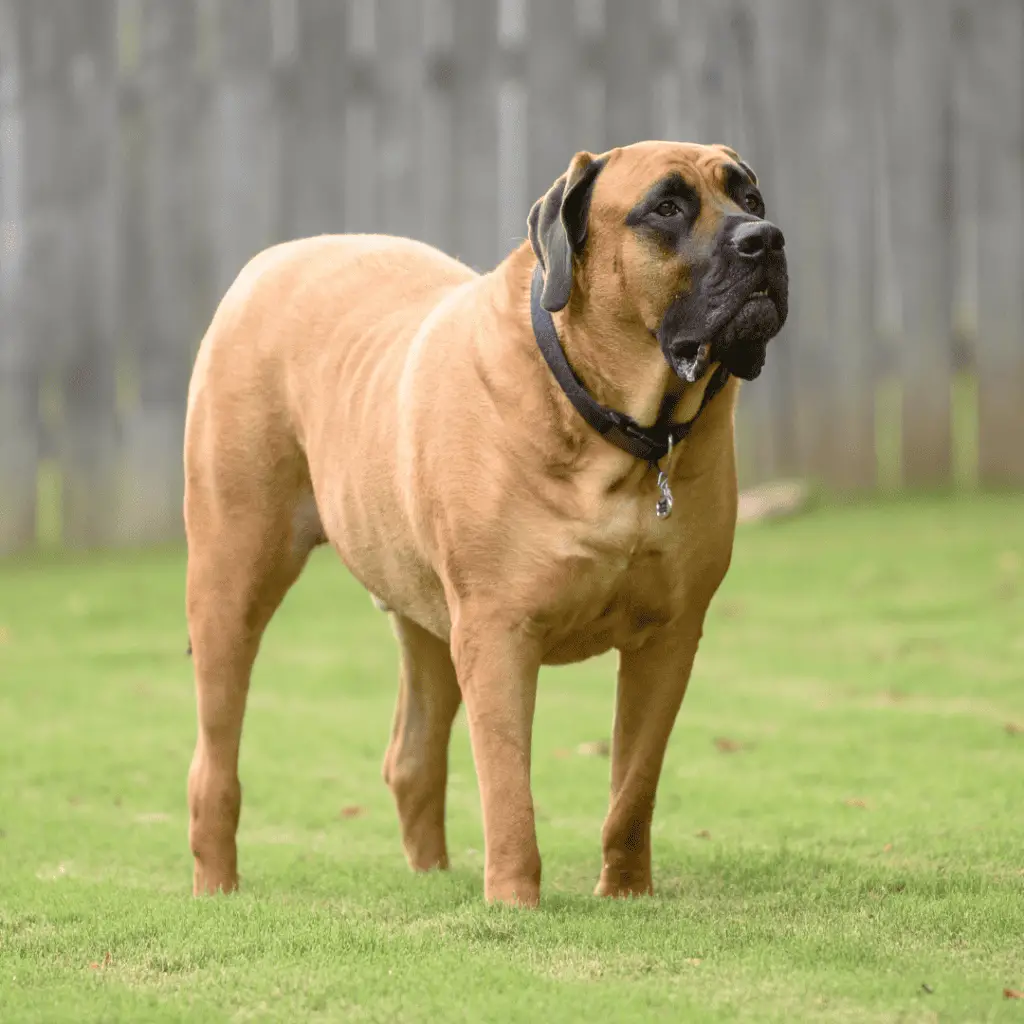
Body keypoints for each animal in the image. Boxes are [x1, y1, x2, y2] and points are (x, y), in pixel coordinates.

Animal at [184, 140, 786, 909]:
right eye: (667, 207)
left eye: (752, 198)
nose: (766, 239)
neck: (620, 435)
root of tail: (267, 263)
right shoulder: (498, 631)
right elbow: (508, 790)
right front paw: (513, 903)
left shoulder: (671, 635)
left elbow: (633, 785)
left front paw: (625, 892)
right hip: (232, 576)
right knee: (215, 759)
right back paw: (217, 883)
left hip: (425, 614)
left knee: (411, 757)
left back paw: (432, 876)